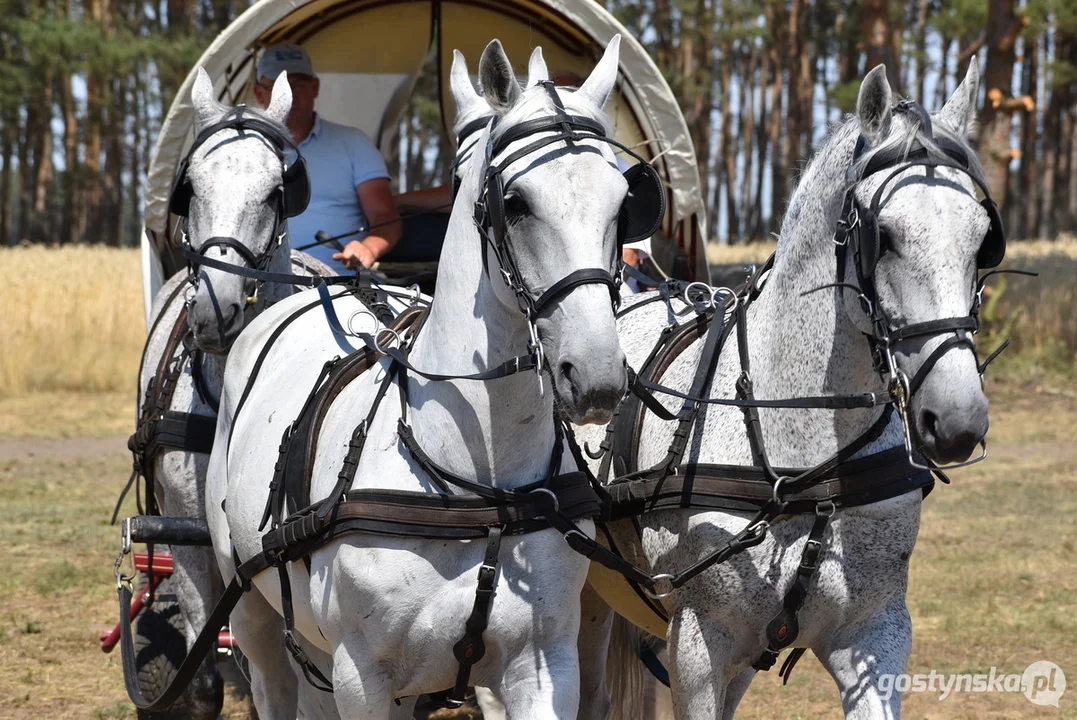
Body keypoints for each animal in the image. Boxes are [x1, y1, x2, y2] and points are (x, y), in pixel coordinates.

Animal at [203, 37, 628, 718]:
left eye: (622, 200)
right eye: (515, 204)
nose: (595, 375)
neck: (477, 485)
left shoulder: (543, 667)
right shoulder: (364, 677)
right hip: (254, 614)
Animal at [577, 61, 995, 718]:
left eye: (982, 240)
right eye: (885, 235)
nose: (957, 420)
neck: (809, 463)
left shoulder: (875, 634)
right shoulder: (698, 647)